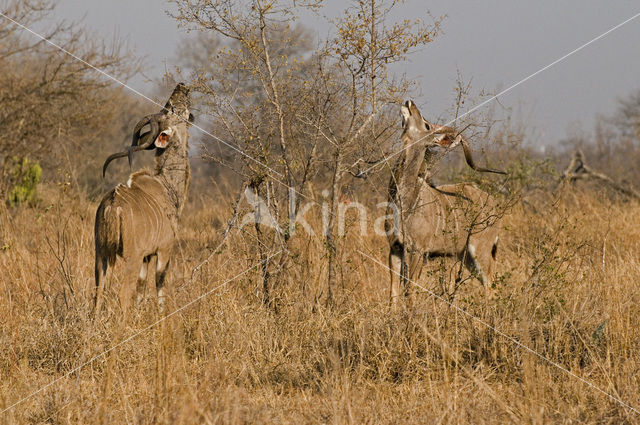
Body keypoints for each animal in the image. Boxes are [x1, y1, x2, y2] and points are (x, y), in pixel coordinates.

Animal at [93, 83, 192, 314]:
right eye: (172, 109)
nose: (182, 86)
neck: (167, 185)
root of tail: (112, 206)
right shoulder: (164, 249)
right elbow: (159, 282)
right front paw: (162, 316)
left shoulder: (147, 255)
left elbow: (141, 285)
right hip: (131, 256)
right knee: (122, 294)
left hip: (100, 254)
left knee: (98, 292)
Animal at [388, 100, 508, 300]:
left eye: (427, 125)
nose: (409, 103)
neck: (406, 200)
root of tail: (494, 203)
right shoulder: (395, 248)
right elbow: (394, 292)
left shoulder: (418, 250)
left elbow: (410, 290)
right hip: (465, 257)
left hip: (480, 250)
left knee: (490, 288)